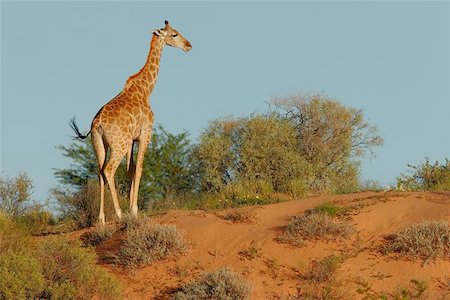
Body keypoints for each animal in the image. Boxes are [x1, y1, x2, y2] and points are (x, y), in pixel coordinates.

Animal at [70, 20, 192, 223]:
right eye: (174, 34)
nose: (189, 45)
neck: (146, 89)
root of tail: (97, 124)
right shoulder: (145, 134)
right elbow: (140, 168)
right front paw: (134, 209)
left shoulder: (132, 140)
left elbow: (130, 169)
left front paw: (130, 208)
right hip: (119, 144)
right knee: (109, 170)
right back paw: (118, 213)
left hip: (100, 144)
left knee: (99, 171)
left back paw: (101, 218)